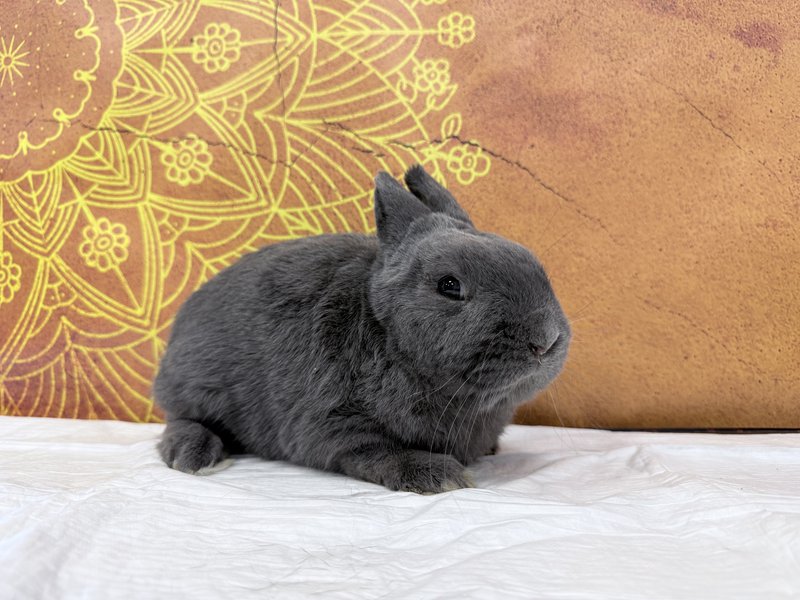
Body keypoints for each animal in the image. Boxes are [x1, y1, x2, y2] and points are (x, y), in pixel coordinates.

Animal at [153, 164, 571, 493]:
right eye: (449, 286)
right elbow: (379, 452)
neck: (390, 341)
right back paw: (194, 456)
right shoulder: (334, 423)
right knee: (181, 419)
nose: (545, 339)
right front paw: (441, 476)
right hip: (197, 385)